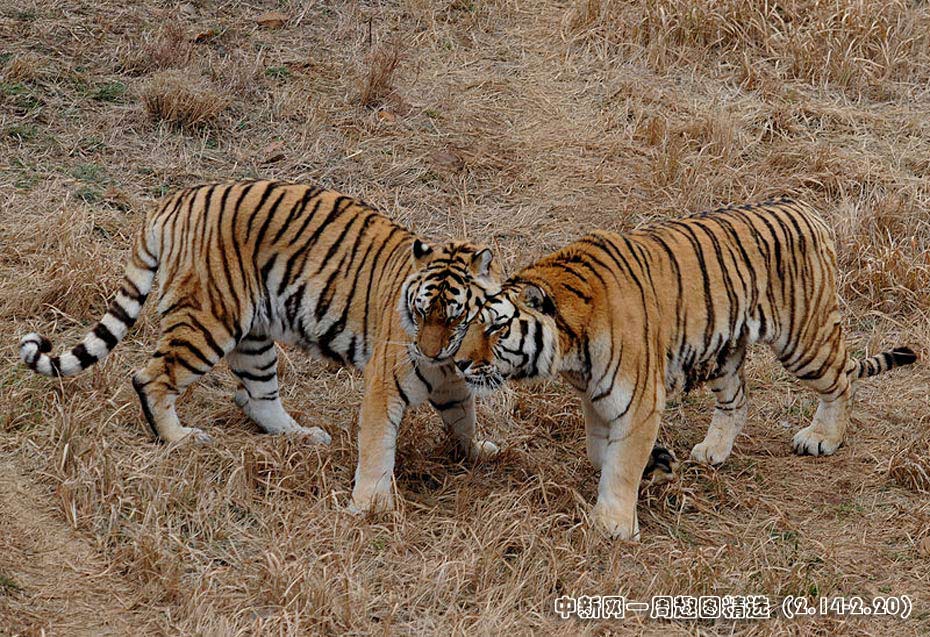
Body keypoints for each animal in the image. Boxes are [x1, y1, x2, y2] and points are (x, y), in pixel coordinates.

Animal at [18, 179, 503, 514]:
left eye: (454, 316)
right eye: (421, 313)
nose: (430, 352)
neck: (447, 361)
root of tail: (172, 200)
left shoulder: (451, 382)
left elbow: (463, 418)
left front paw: (477, 452)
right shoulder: (386, 385)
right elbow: (378, 445)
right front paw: (370, 506)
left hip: (254, 335)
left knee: (256, 397)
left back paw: (304, 436)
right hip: (208, 322)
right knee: (151, 377)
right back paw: (180, 439)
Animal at [453, 197, 917, 540]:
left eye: (496, 327)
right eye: (465, 322)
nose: (458, 362)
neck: (569, 346)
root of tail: (807, 209)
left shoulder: (638, 401)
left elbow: (621, 463)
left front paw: (613, 525)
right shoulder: (596, 396)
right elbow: (600, 451)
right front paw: (655, 465)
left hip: (804, 339)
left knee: (841, 381)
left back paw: (823, 438)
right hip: (725, 354)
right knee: (738, 400)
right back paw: (714, 450)